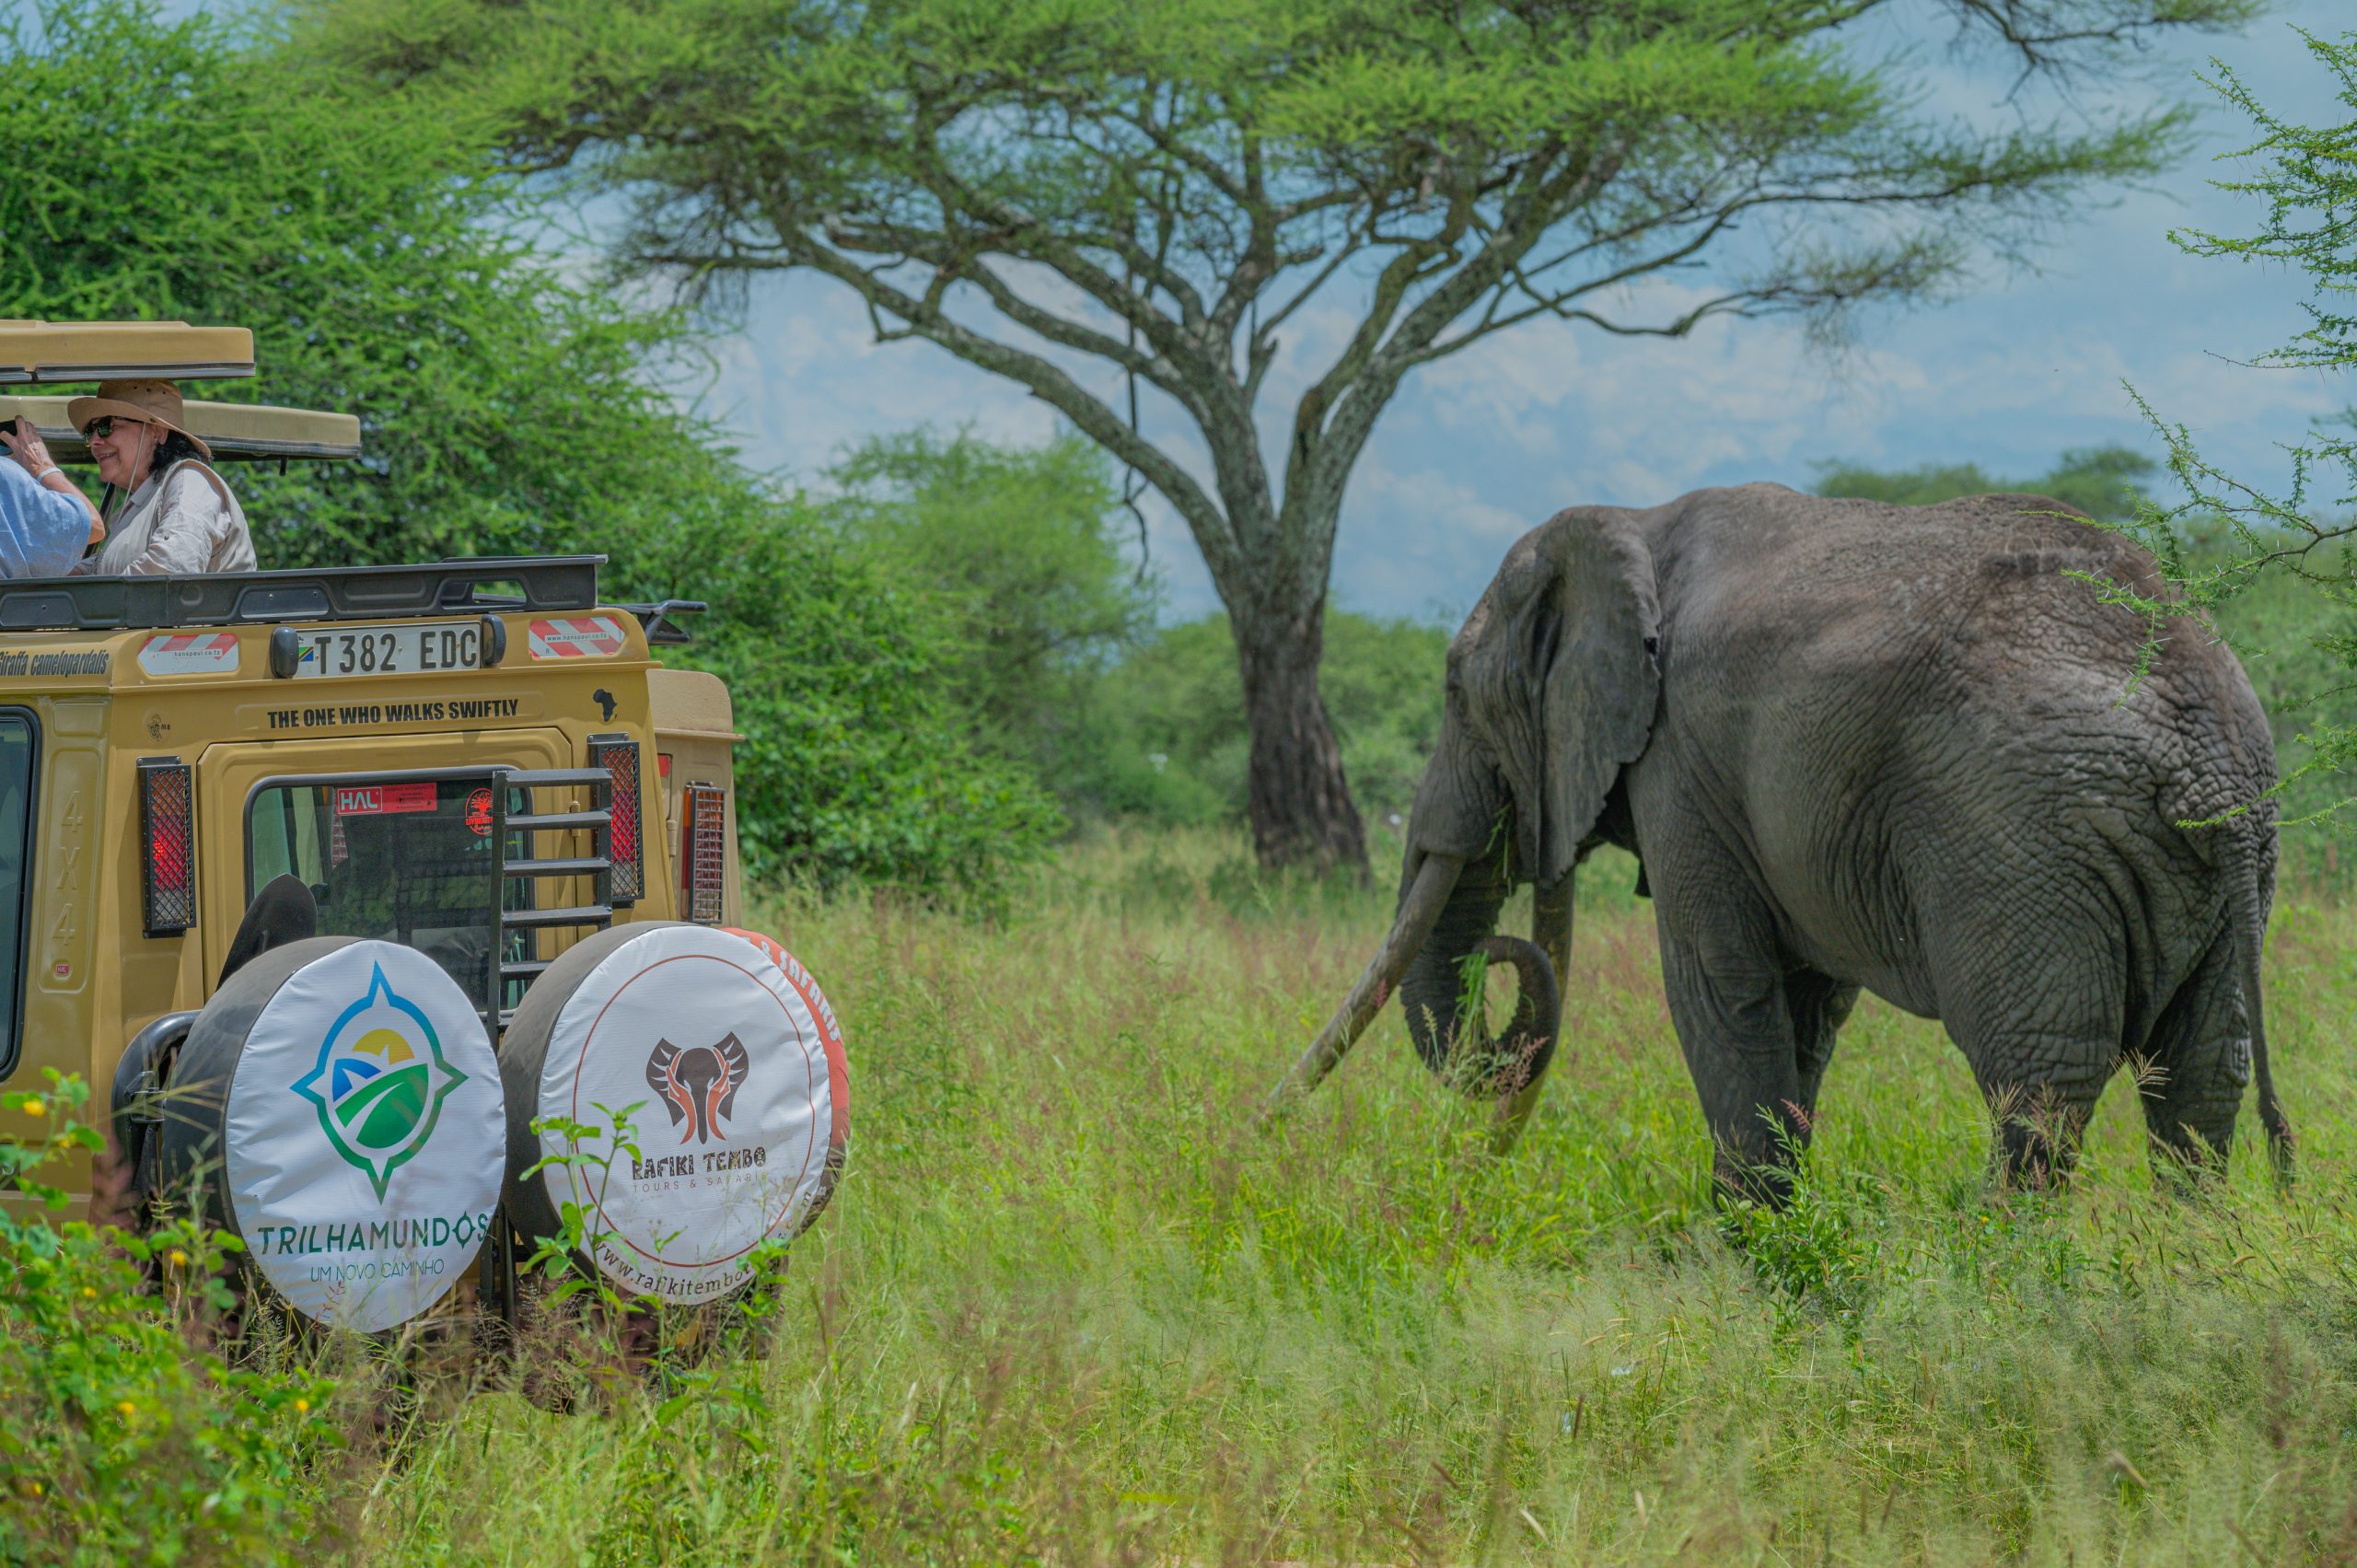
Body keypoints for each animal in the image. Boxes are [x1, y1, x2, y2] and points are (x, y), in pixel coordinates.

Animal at [1274, 483, 2291, 1200]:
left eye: (1452, 688)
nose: (1471, 1178)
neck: (1631, 523)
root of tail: (2211, 751)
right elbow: (1807, 1004)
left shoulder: (1680, 763)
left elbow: (1718, 983)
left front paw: (1736, 1259)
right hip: (2219, 862)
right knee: (2202, 1072)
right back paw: (2186, 1258)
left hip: (2020, 838)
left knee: (2040, 1077)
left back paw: (2000, 1265)